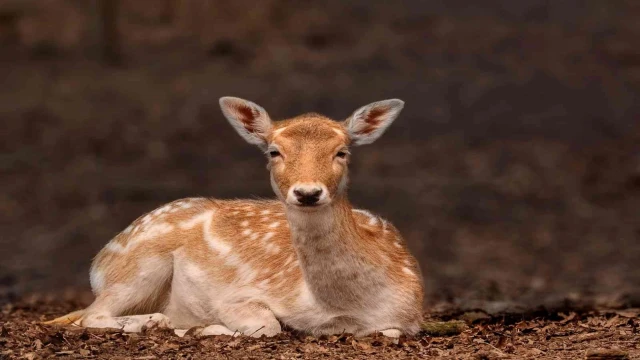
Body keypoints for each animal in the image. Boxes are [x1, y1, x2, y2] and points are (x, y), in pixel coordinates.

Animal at [46, 97, 424, 338]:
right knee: (91, 315)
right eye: (274, 151)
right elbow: (267, 326)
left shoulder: (409, 317)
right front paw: (207, 326)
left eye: (342, 152)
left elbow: (390, 332)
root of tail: (99, 262)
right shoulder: (240, 295)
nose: (307, 192)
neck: (347, 308)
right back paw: (158, 323)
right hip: (138, 267)